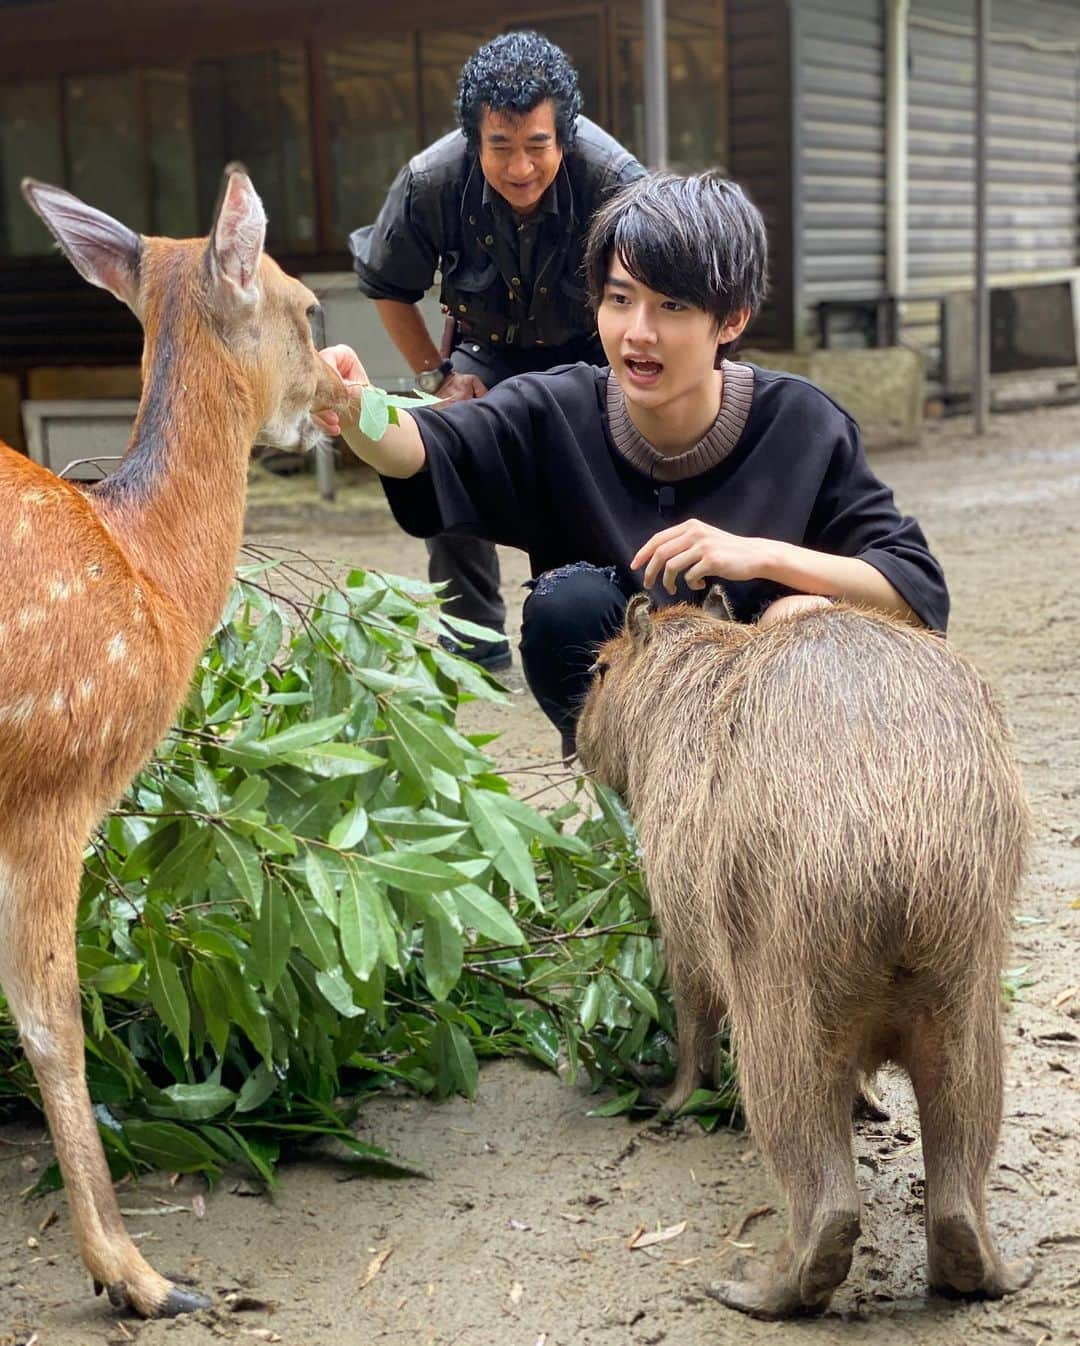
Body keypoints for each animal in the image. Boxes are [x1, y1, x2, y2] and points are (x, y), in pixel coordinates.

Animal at [0, 165, 347, 1313]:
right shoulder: (54, 781)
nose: (338, 398)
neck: (149, 575)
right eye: (311, 307)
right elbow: (51, 1019)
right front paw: (138, 1275)